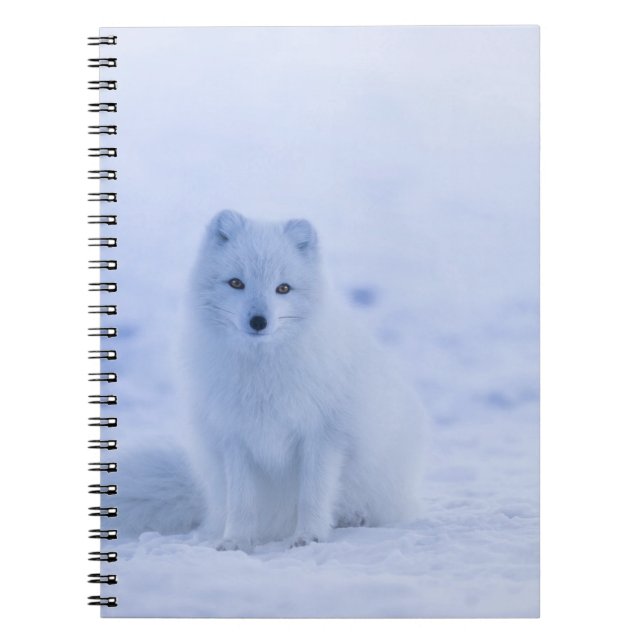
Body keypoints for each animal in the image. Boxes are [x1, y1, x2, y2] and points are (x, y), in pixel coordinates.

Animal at [180, 210, 429, 551]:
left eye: (283, 288)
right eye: (236, 283)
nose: (258, 321)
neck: (263, 374)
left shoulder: (323, 435)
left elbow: (313, 494)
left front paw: (309, 537)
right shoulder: (235, 438)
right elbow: (242, 501)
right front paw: (236, 541)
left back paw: (355, 518)